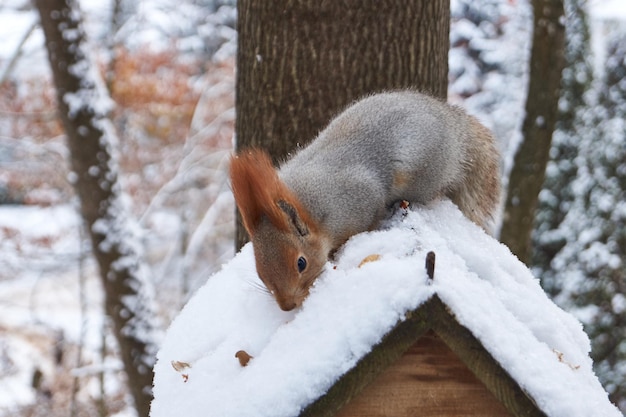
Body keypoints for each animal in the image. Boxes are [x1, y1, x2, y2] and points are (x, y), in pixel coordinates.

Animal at [229, 92, 498, 312]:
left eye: (301, 263)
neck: (314, 210)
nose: (287, 306)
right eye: (259, 269)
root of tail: (454, 130)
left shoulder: (360, 200)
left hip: (423, 174)